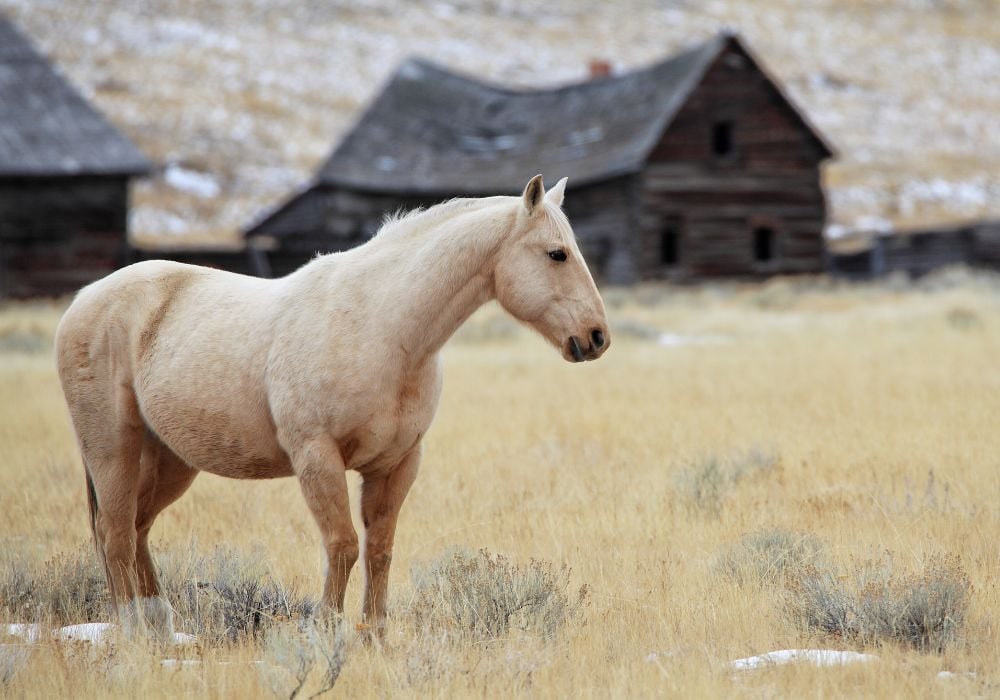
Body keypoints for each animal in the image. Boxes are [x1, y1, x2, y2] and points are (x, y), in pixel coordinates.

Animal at [58, 174, 612, 640]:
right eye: (557, 254)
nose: (596, 337)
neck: (384, 329)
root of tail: (85, 298)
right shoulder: (317, 458)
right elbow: (343, 545)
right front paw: (325, 631)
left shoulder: (396, 464)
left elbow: (380, 549)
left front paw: (375, 635)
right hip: (114, 450)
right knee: (115, 535)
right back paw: (132, 629)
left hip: (171, 460)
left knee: (137, 528)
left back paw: (158, 624)